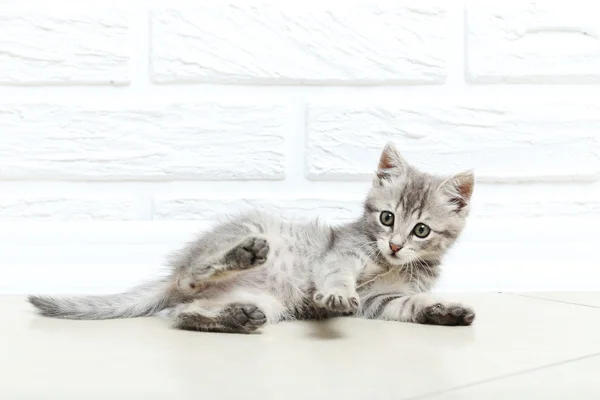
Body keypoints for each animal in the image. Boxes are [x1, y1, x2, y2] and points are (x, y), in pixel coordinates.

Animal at [30, 142, 476, 332]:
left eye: (421, 230)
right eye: (387, 218)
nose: (396, 245)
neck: (388, 264)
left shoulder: (379, 299)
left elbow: (408, 304)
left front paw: (444, 311)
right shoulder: (342, 255)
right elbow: (338, 277)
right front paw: (335, 294)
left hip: (271, 304)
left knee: (183, 313)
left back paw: (236, 318)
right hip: (248, 233)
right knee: (189, 279)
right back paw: (239, 258)